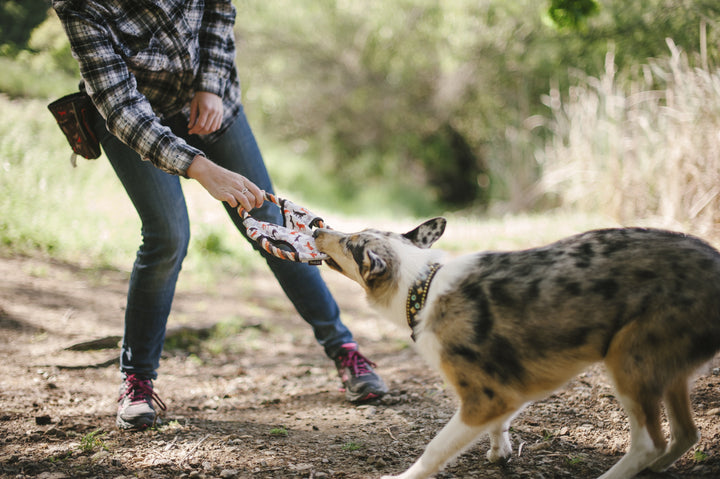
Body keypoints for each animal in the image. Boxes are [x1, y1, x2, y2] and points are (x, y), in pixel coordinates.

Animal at [314, 220, 720, 479]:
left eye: (350, 244)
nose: (317, 228)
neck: (423, 286)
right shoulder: (510, 390)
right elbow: (502, 423)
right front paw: (500, 452)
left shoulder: (483, 398)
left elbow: (435, 449)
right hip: (666, 374)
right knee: (686, 434)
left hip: (627, 363)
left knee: (650, 443)